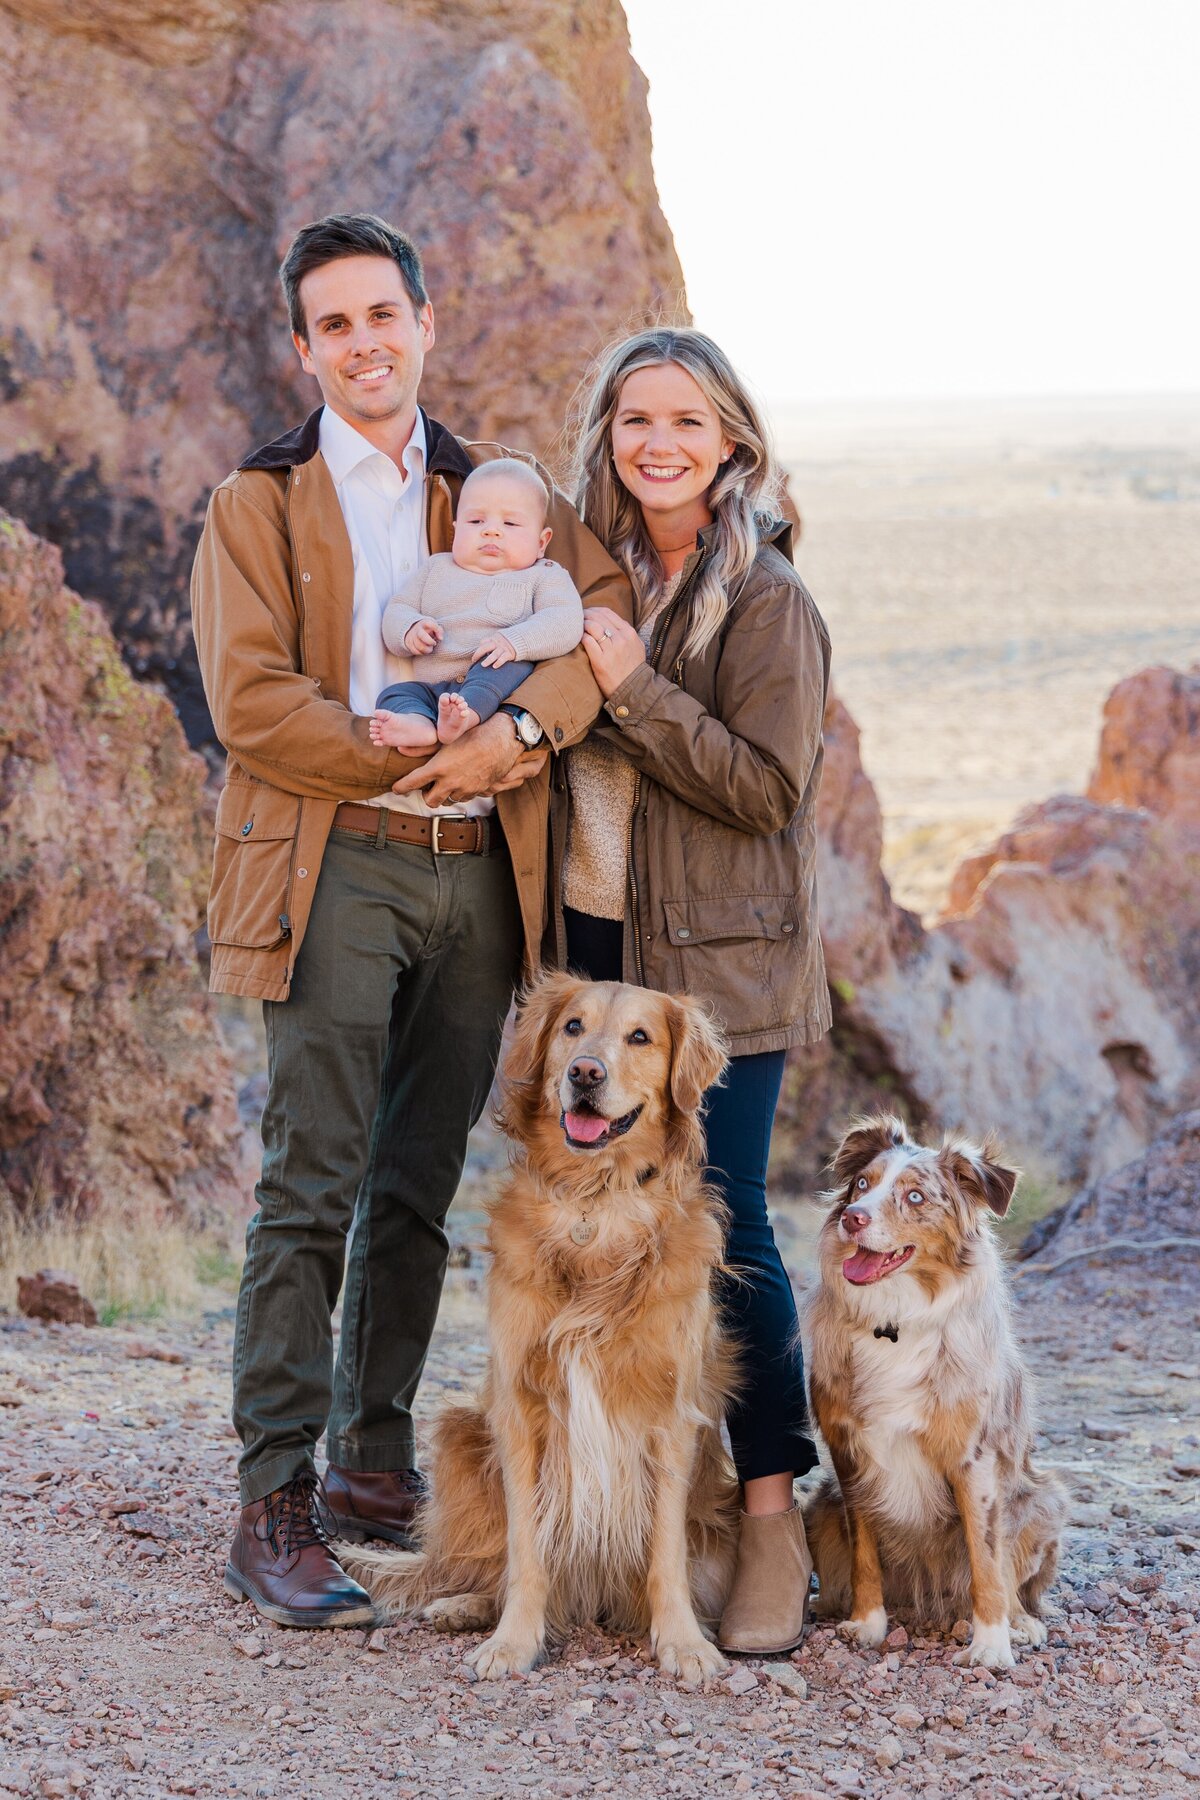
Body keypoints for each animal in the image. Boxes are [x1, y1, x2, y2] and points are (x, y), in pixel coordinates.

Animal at [341, 979, 741, 1677]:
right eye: (572, 1027)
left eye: (641, 1037)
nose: (585, 1074)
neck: (593, 1203)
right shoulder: (519, 1409)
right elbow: (527, 1551)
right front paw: (513, 1640)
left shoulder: (672, 1417)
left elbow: (665, 1553)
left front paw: (683, 1641)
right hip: (461, 1434)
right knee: (481, 1563)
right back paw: (466, 1605)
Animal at [802, 1108, 1065, 1670]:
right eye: (862, 1184)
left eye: (916, 1196)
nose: (851, 1217)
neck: (895, 1320)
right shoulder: (849, 1455)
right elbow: (864, 1554)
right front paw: (868, 1625)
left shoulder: (975, 1459)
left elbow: (987, 1561)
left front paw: (991, 1646)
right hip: (820, 1506)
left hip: (1042, 1501)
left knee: (1012, 1578)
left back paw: (1021, 1623)